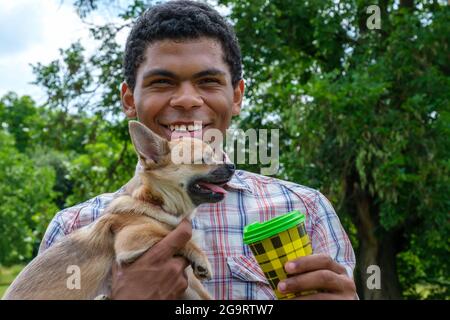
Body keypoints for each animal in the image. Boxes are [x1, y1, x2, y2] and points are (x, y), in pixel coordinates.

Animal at [3, 120, 234, 300]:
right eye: (202, 160)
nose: (231, 166)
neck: (154, 202)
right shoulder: (132, 240)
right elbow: (173, 235)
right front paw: (201, 258)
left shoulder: (187, 285)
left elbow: (201, 292)